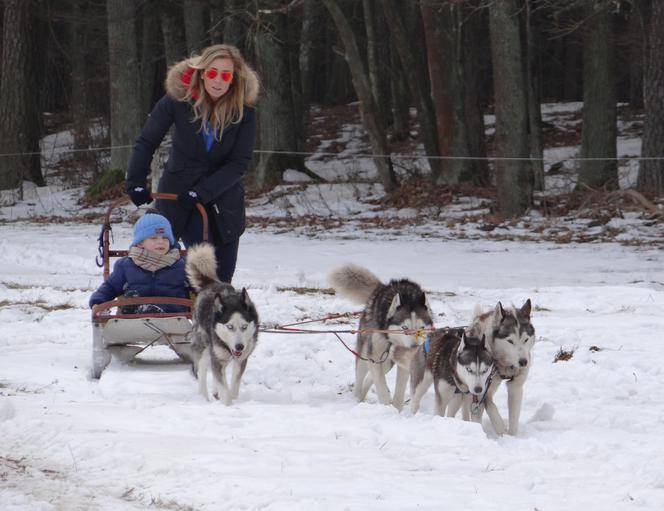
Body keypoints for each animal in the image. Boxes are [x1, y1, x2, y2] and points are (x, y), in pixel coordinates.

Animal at [188, 246, 260, 406]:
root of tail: (211, 283)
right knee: (202, 369)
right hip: (205, 346)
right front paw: (226, 404)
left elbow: (234, 386)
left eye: (244, 326)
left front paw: (229, 395)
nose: (239, 346)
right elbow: (224, 389)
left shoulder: (241, 359)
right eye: (230, 327)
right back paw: (203, 395)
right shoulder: (217, 356)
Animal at [328, 264, 434, 412]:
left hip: (387, 361)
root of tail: (382, 286)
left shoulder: (403, 362)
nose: (414, 347)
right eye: (404, 328)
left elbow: (399, 391)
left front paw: (397, 409)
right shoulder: (374, 354)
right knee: (361, 376)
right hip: (365, 353)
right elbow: (380, 385)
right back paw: (356, 398)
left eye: (421, 328)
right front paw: (386, 406)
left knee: (371, 376)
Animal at [466, 300, 536, 436]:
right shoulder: (484, 390)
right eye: (510, 341)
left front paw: (512, 436)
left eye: (526, 339)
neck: (504, 365)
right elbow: (492, 408)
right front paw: (500, 429)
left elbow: (514, 417)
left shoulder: (515, 387)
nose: (523, 362)